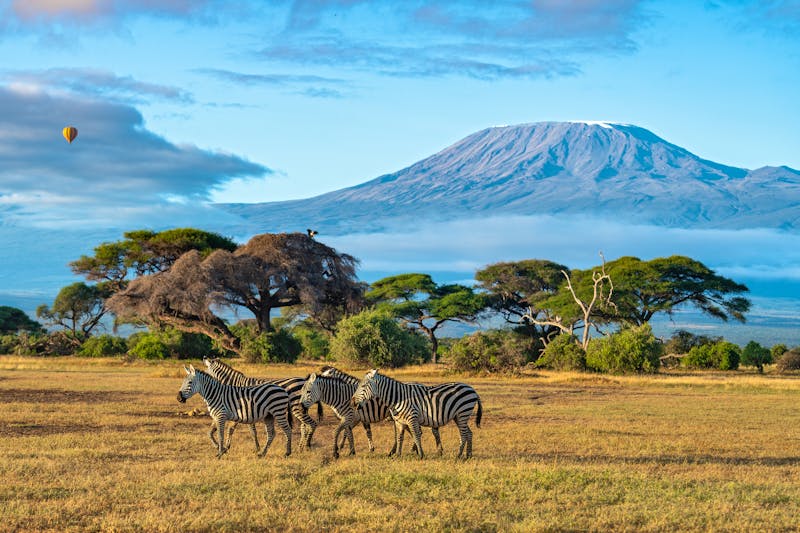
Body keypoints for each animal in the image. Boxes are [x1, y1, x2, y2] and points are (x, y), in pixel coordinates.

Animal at [353, 369, 482, 459]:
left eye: (363, 386)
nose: (352, 402)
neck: (398, 398)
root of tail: (472, 389)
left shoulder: (412, 418)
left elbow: (416, 435)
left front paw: (421, 454)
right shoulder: (399, 422)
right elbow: (400, 438)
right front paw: (398, 455)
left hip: (462, 413)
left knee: (464, 434)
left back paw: (458, 455)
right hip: (459, 416)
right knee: (469, 433)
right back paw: (468, 455)